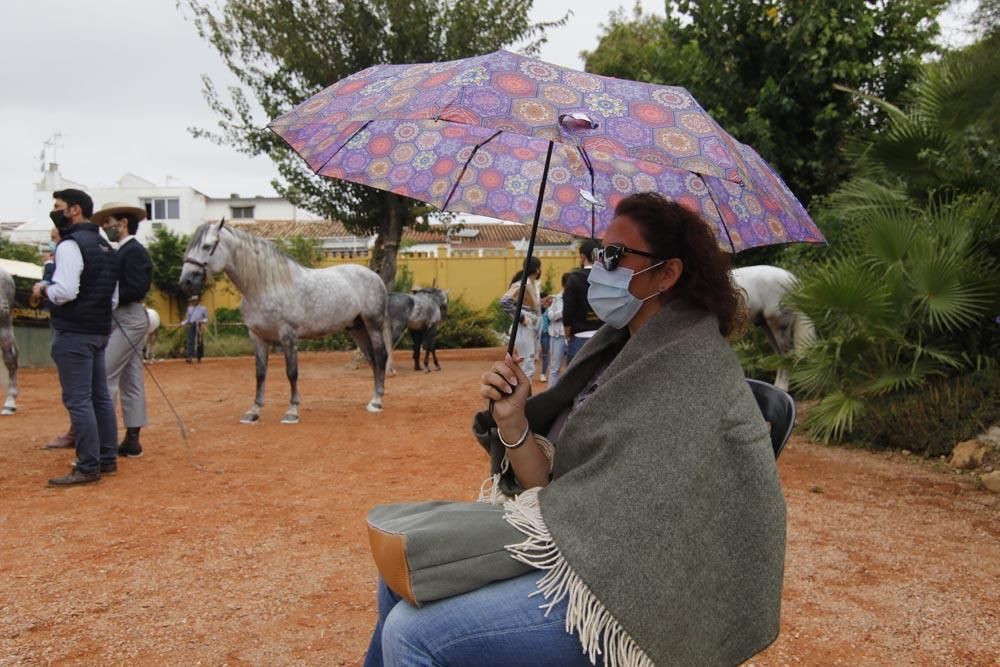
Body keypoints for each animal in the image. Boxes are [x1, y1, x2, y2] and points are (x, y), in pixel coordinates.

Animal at [180, 222, 390, 426]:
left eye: (207, 246)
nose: (186, 281)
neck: (266, 286)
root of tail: (375, 276)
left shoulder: (288, 335)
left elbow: (291, 372)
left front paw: (292, 412)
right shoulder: (256, 337)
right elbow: (260, 373)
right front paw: (253, 412)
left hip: (373, 324)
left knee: (381, 356)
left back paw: (377, 402)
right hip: (357, 328)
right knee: (372, 359)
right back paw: (373, 399)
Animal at [732, 264, 816, 392]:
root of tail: (792, 278)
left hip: (779, 326)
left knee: (787, 355)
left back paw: (783, 388)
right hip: (767, 327)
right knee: (780, 356)